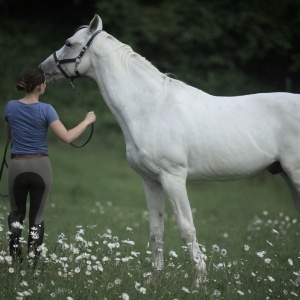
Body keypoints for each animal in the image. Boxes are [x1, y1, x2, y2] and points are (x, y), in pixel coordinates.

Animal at [41, 14, 300, 286]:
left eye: (69, 43)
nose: (41, 70)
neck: (152, 107)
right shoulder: (150, 180)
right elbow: (156, 230)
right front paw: (152, 282)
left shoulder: (173, 178)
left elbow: (187, 229)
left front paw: (198, 282)